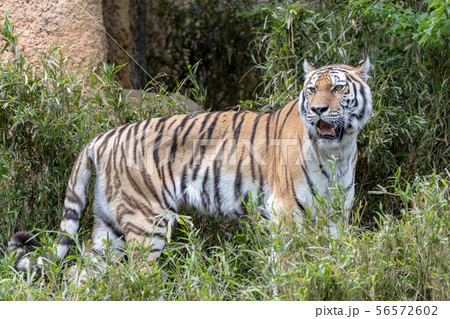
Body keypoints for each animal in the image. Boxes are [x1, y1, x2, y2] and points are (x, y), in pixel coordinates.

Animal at [7, 57, 372, 272]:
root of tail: (102, 137)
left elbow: (336, 259)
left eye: (338, 87)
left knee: (81, 274)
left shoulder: (337, 214)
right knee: (137, 276)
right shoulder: (285, 213)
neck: (337, 151)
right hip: (146, 223)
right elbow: (290, 263)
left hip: (109, 226)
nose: (318, 109)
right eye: (311, 90)